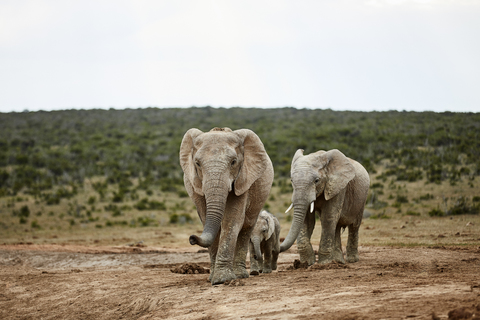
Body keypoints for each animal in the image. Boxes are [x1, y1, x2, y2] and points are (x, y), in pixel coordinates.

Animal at [179, 126, 274, 284]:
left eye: (233, 162)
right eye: (197, 163)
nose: (192, 238)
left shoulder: (243, 179)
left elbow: (232, 220)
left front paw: (222, 279)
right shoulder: (195, 184)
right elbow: (206, 218)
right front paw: (213, 278)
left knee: (247, 227)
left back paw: (240, 275)